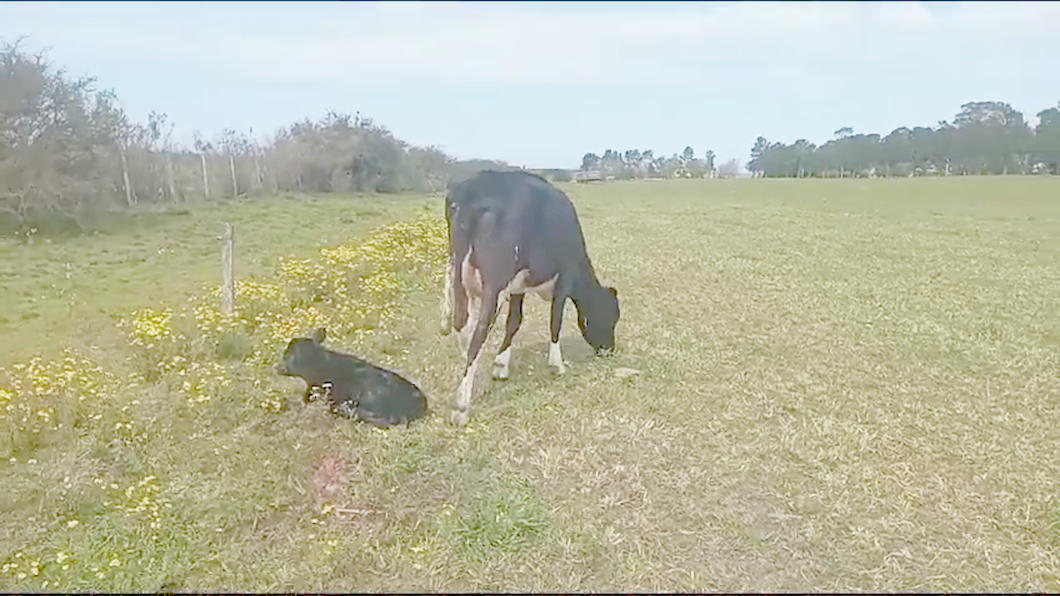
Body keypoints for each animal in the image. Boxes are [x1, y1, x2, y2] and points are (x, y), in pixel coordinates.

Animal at [438, 169, 619, 424]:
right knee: (478, 332)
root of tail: (475, 188)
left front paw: (501, 365)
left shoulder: (518, 287)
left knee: (462, 323)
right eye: (612, 318)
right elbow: (555, 321)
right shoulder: (564, 278)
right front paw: (556, 365)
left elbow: (514, 321)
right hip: (495, 281)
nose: (609, 349)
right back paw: (462, 405)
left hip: (459, 268)